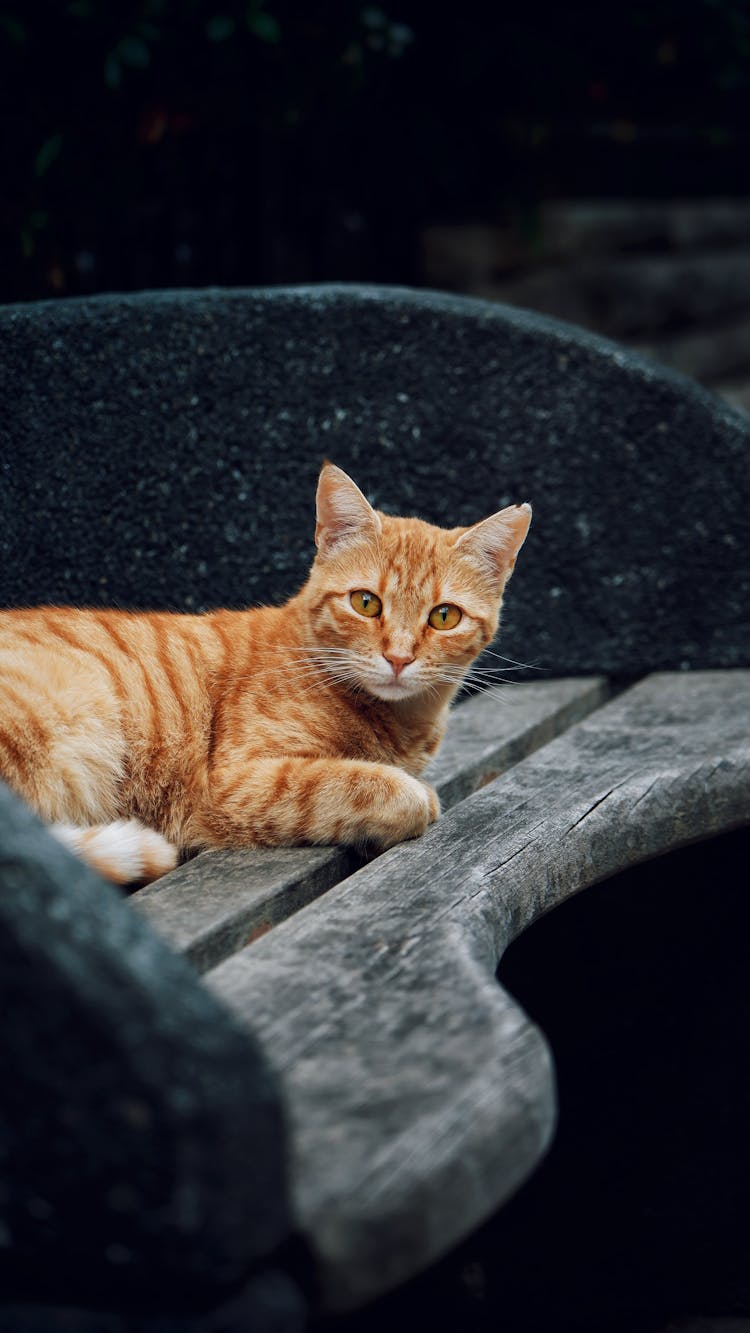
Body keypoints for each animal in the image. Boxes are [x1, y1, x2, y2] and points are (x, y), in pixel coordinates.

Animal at [0, 463, 530, 879]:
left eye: (444, 616)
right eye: (366, 603)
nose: (399, 658)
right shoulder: (232, 784)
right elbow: (378, 786)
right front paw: (413, 794)